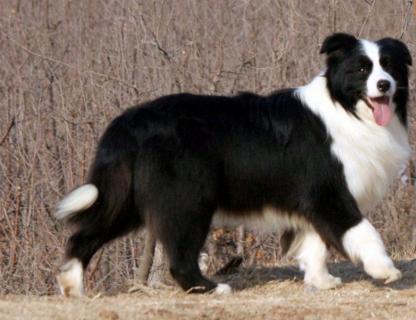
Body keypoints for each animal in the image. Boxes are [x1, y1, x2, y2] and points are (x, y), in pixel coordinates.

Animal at [57, 33, 412, 296]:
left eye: (389, 66)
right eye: (362, 69)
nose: (384, 85)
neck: (346, 109)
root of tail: (129, 121)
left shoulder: (310, 199)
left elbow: (314, 242)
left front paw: (321, 281)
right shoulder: (329, 192)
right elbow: (362, 230)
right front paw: (385, 270)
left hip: (129, 198)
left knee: (84, 236)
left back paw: (72, 286)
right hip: (186, 199)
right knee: (180, 256)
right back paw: (211, 288)